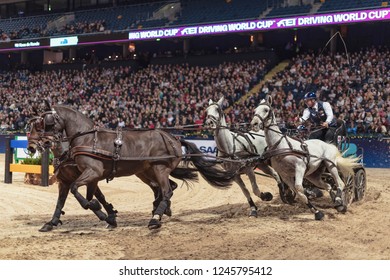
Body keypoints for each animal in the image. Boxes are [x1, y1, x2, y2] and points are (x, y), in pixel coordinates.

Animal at [37, 104, 235, 229]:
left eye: (47, 122)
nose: (43, 143)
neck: (87, 138)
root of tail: (174, 138)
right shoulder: (85, 176)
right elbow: (72, 196)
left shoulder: (93, 172)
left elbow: (77, 190)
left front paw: (101, 212)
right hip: (148, 171)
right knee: (167, 188)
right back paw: (161, 210)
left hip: (159, 169)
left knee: (167, 190)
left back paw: (155, 218)